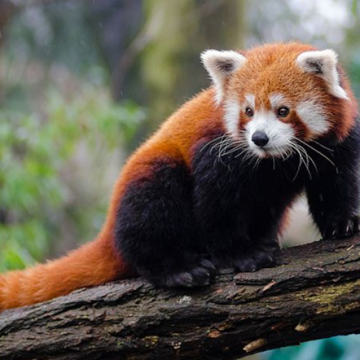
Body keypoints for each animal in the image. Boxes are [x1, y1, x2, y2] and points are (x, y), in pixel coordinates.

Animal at [0, 43, 360, 310]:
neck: (275, 160)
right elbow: (217, 205)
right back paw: (178, 268)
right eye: (248, 111)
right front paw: (240, 254)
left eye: (282, 111)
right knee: (152, 209)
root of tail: (108, 231)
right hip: (151, 177)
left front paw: (342, 222)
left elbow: (335, 184)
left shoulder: (338, 142)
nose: (259, 138)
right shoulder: (217, 149)